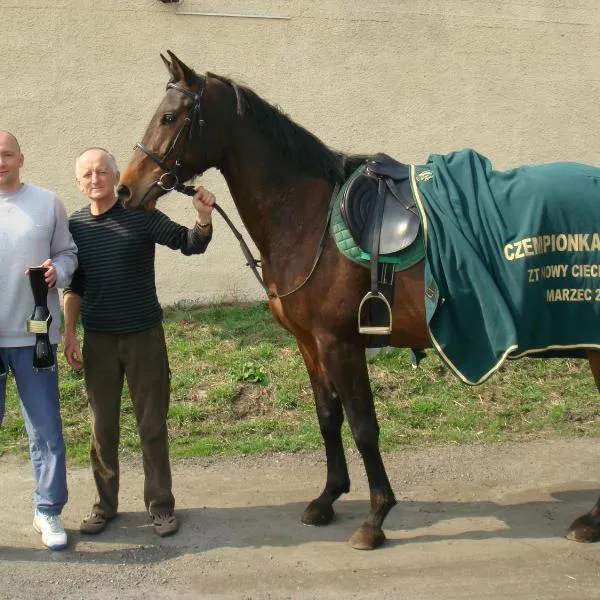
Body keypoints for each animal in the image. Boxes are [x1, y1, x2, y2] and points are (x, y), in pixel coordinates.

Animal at [116, 51, 600, 548]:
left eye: (169, 117)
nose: (125, 188)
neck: (309, 219)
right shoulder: (310, 344)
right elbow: (329, 417)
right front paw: (328, 498)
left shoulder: (341, 343)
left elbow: (364, 426)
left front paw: (375, 517)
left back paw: (590, 522)